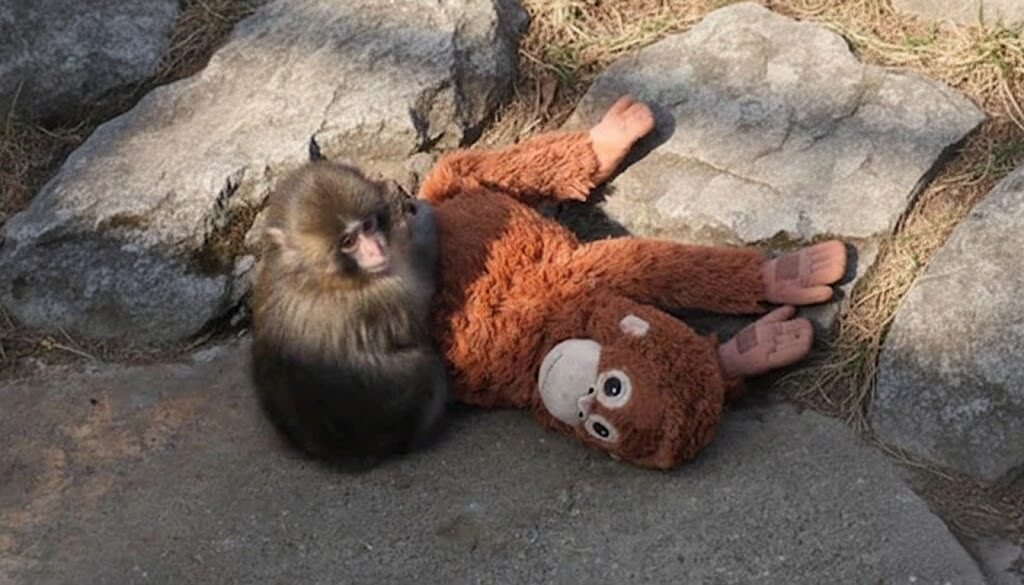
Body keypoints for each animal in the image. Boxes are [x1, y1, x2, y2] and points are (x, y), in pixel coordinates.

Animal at [249, 138, 449, 468]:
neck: (314, 275)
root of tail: (349, 454)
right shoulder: (385, 293)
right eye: (348, 242)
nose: (378, 248)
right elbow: (420, 307)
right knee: (428, 369)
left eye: (368, 226)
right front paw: (423, 224)